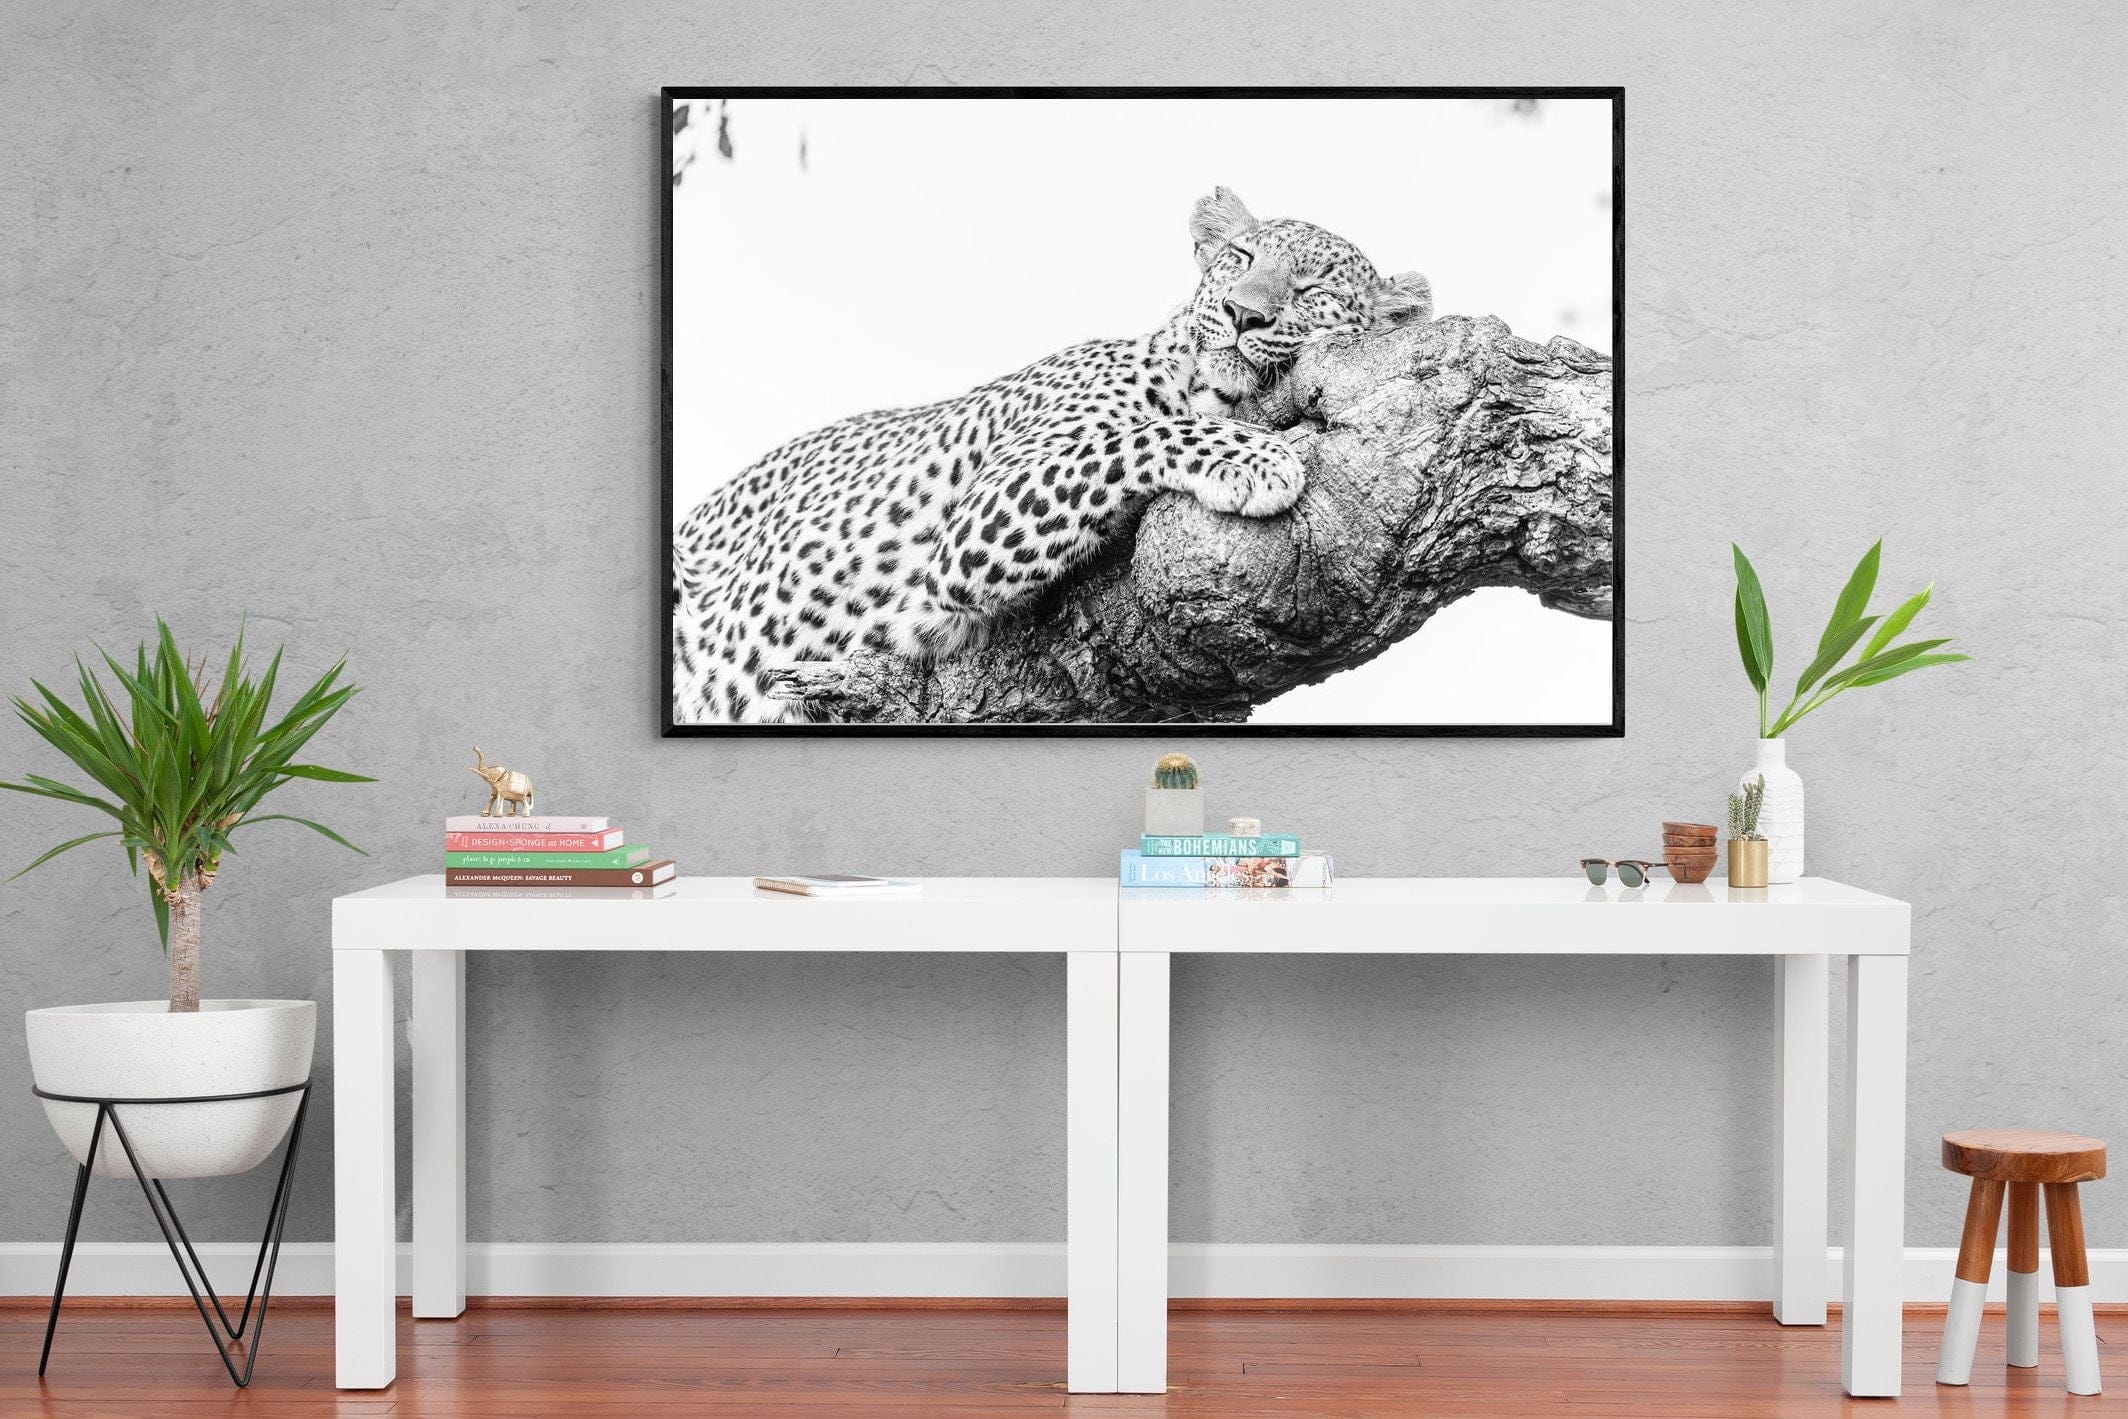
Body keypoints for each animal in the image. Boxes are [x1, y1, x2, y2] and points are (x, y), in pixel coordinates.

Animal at [670, 187, 1431, 724]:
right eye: (1240, 259)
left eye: (1313, 290)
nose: (1245, 314)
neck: (1201, 381)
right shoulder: (975, 522)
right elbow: (1134, 437)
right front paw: (1256, 457)